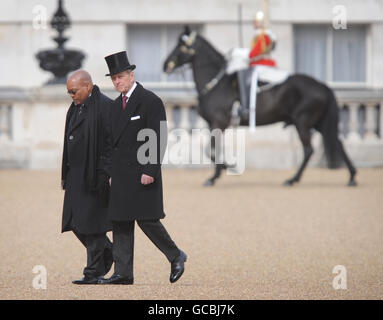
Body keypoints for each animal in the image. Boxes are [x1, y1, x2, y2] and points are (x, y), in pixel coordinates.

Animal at [164, 28, 358, 188]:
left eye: (181, 46)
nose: (165, 65)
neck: (216, 83)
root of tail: (322, 85)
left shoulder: (218, 123)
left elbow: (210, 151)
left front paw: (221, 172)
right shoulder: (217, 125)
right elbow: (212, 150)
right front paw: (221, 171)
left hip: (303, 123)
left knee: (309, 150)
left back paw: (292, 179)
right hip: (317, 123)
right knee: (337, 143)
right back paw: (351, 177)